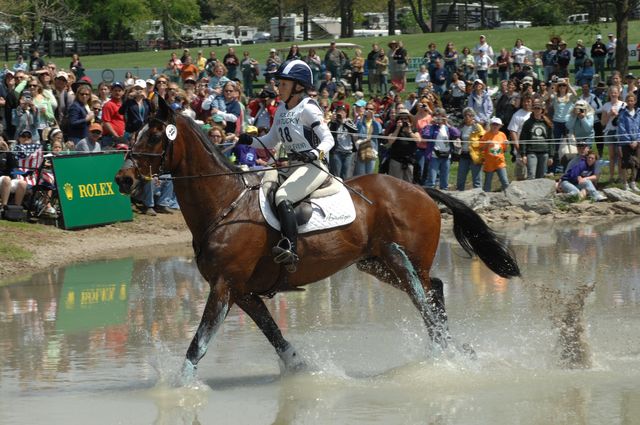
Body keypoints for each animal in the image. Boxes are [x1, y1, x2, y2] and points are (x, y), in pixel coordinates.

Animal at [115, 98, 520, 380]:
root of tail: (419, 188)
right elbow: (275, 336)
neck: (225, 204)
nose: (123, 179)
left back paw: (447, 354)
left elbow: (197, 345)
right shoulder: (243, 292)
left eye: (154, 135)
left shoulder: (224, 286)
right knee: (433, 290)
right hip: (378, 264)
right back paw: (449, 350)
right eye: (133, 133)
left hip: (404, 260)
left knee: (427, 297)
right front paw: (302, 371)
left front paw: (179, 389)